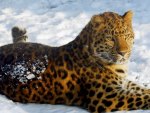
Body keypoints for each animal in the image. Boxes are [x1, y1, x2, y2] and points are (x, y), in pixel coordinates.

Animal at [0, 10, 150, 113]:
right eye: (110, 39)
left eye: (127, 35)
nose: (123, 52)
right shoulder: (107, 98)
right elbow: (140, 97)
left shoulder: (122, 83)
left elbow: (140, 89)